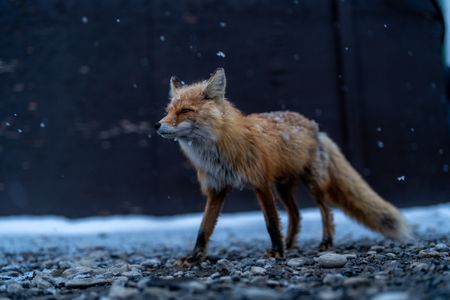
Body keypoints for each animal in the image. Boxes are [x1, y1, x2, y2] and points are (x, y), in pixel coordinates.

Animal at [156, 67, 412, 264]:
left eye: (185, 110)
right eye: (168, 111)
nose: (158, 126)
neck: (216, 154)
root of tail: (315, 126)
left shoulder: (260, 183)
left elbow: (271, 222)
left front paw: (278, 253)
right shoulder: (216, 189)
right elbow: (204, 228)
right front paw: (194, 258)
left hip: (312, 185)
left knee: (326, 211)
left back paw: (325, 242)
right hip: (283, 187)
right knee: (296, 215)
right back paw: (291, 243)